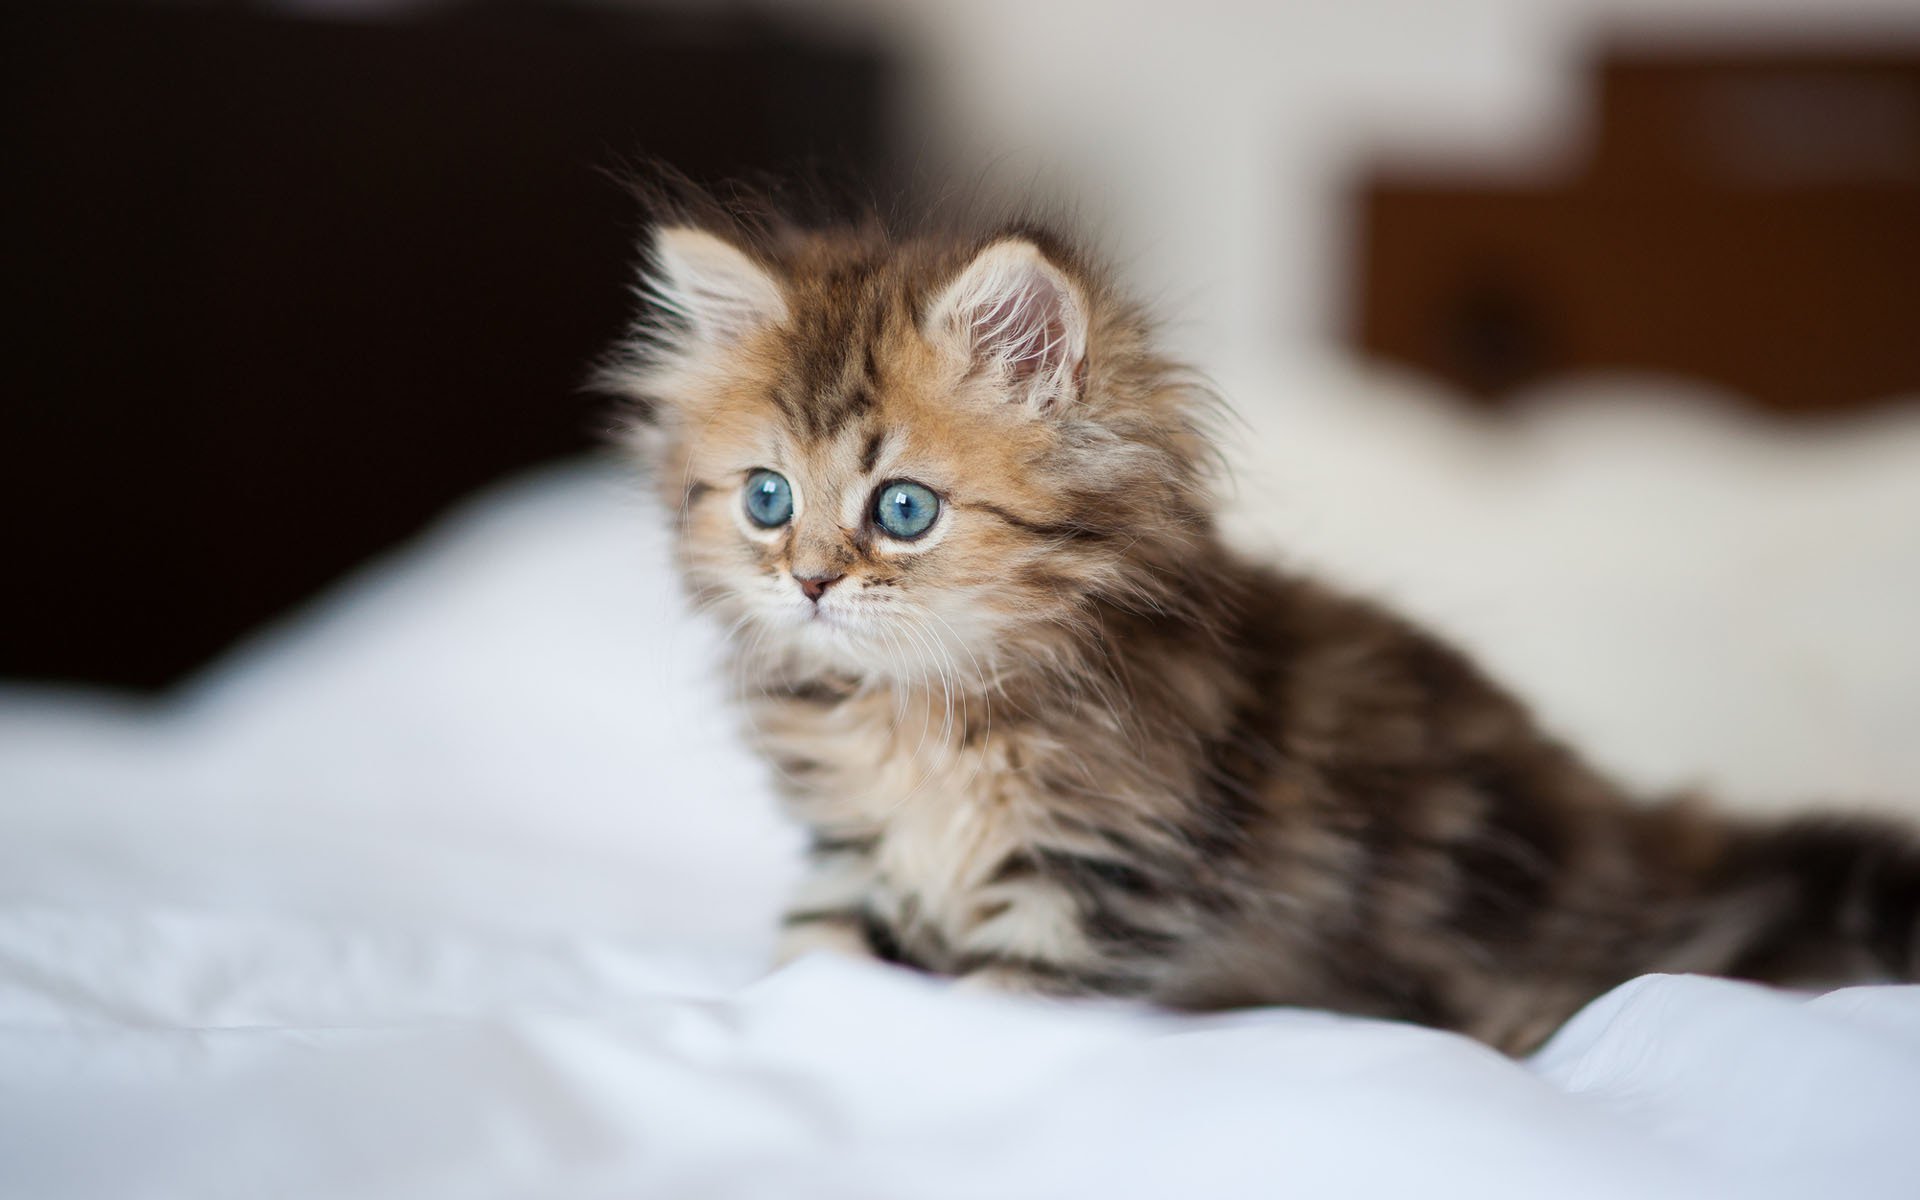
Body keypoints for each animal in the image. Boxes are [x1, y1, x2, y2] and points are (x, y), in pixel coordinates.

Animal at [602, 192, 1920, 1052]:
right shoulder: (852, 857)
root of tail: (1644, 843)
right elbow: (814, 960)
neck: (922, 714)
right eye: (767, 500)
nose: (810, 583)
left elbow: (994, 1013)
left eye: (904, 510)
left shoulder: (1097, 884)